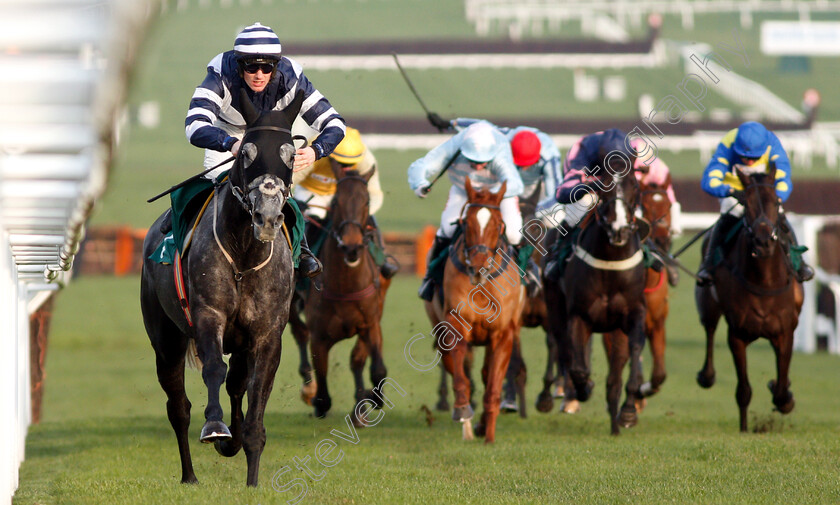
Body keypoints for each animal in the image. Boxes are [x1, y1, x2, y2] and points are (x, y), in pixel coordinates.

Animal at [142, 93, 302, 484]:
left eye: (291, 154)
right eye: (246, 151)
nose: (267, 216)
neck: (243, 257)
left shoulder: (265, 334)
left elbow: (256, 392)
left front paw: (252, 477)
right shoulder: (208, 315)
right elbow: (215, 368)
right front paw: (216, 428)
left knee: (236, 386)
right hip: (165, 339)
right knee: (178, 407)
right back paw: (190, 475)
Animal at [292, 164, 390, 422]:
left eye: (366, 201)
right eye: (336, 201)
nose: (351, 246)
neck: (346, 285)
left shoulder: (371, 323)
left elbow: (375, 368)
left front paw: (370, 399)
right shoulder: (319, 336)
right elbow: (322, 379)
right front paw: (318, 400)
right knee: (299, 333)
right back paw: (309, 388)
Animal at [424, 178, 520, 440]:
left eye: (498, 224)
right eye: (466, 222)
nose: (478, 267)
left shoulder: (502, 334)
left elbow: (493, 385)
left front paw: (489, 435)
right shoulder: (454, 327)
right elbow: (461, 378)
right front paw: (462, 411)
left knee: (487, 374)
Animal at [544, 165, 648, 434]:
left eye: (635, 186)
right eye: (603, 186)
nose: (619, 230)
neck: (610, 264)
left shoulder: (634, 314)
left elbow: (633, 356)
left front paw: (628, 412)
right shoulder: (579, 316)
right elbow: (579, 368)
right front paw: (584, 389)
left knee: (614, 376)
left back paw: (615, 423)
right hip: (555, 308)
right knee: (563, 348)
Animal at [692, 164, 804, 430]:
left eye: (775, 201)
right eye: (747, 203)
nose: (763, 243)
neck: (764, 280)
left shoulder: (785, 332)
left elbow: (781, 390)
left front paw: (783, 393)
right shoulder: (738, 335)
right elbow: (743, 391)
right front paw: (744, 429)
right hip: (707, 303)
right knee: (709, 330)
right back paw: (706, 375)